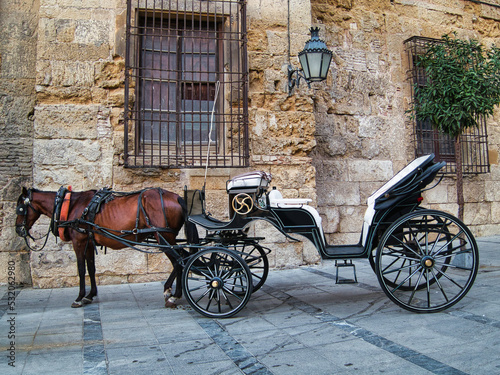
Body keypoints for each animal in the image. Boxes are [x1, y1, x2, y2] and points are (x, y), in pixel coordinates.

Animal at [15, 187, 197, 308]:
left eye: (20, 208)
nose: (18, 230)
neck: (72, 205)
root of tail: (176, 197)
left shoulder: (79, 242)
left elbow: (81, 269)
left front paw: (79, 297)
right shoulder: (88, 243)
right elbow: (91, 268)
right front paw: (90, 295)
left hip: (163, 237)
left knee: (179, 261)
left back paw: (174, 295)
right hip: (166, 238)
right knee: (182, 258)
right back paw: (170, 291)